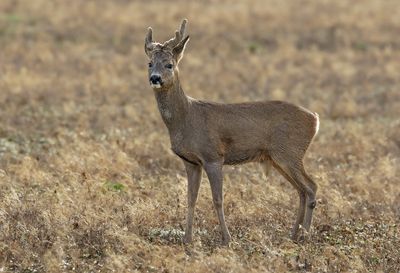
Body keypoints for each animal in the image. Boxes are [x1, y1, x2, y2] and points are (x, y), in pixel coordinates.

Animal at [144, 19, 318, 244]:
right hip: (277, 158)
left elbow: (218, 199)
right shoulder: (191, 161)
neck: (187, 117)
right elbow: (191, 198)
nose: (155, 78)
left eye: (169, 64)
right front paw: (187, 239)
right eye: (149, 63)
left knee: (311, 187)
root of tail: (315, 119)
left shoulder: (213, 156)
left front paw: (227, 239)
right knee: (301, 190)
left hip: (290, 152)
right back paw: (293, 234)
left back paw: (305, 235)